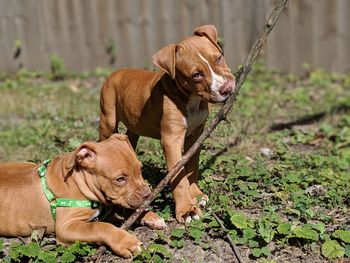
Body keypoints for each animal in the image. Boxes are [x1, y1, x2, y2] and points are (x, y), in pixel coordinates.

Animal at [0, 135, 157, 258]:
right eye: (120, 179)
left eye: (140, 169)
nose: (147, 194)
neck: (79, 181)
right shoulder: (66, 227)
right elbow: (99, 227)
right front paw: (126, 242)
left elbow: (125, 209)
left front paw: (150, 216)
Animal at [98, 24, 235, 223]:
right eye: (196, 75)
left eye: (219, 57)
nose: (227, 88)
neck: (191, 98)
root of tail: (117, 72)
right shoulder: (171, 140)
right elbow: (179, 175)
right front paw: (187, 210)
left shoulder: (196, 134)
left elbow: (192, 166)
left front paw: (196, 195)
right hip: (107, 120)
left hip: (134, 122)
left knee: (130, 138)